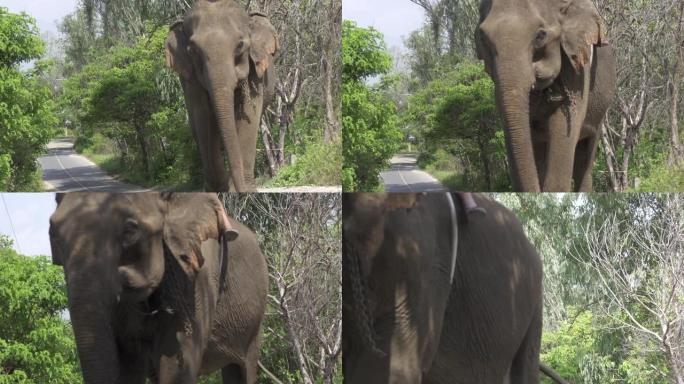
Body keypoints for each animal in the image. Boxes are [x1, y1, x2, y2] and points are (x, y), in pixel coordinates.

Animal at [47, 194, 268, 382]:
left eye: (130, 231)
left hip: (254, 325)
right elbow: (127, 363)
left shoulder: (197, 279)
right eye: (53, 234)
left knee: (243, 369)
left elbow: (177, 363)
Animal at [166, 0, 278, 192]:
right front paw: (219, 187)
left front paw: (246, 190)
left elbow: (250, 117)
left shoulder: (255, 73)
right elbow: (203, 117)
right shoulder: (190, 80)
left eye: (240, 45)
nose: (239, 190)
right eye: (193, 50)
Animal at [478, 0, 616, 191]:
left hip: (601, 110)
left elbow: (563, 130)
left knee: (586, 155)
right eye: (483, 37)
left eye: (540, 35)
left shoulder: (579, 72)